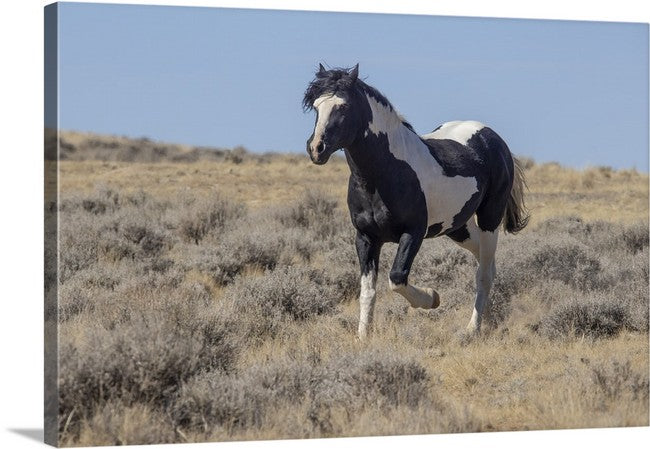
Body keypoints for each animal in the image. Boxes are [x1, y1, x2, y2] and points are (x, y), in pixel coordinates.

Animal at [302, 62, 528, 336]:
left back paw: (472, 329)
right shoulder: (365, 237)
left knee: (483, 274)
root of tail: (494, 138)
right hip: (457, 227)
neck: (385, 173)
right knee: (487, 264)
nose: (316, 148)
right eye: (316, 107)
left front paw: (432, 298)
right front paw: (363, 337)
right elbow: (368, 291)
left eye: (343, 106)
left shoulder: (413, 232)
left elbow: (397, 278)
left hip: (489, 218)